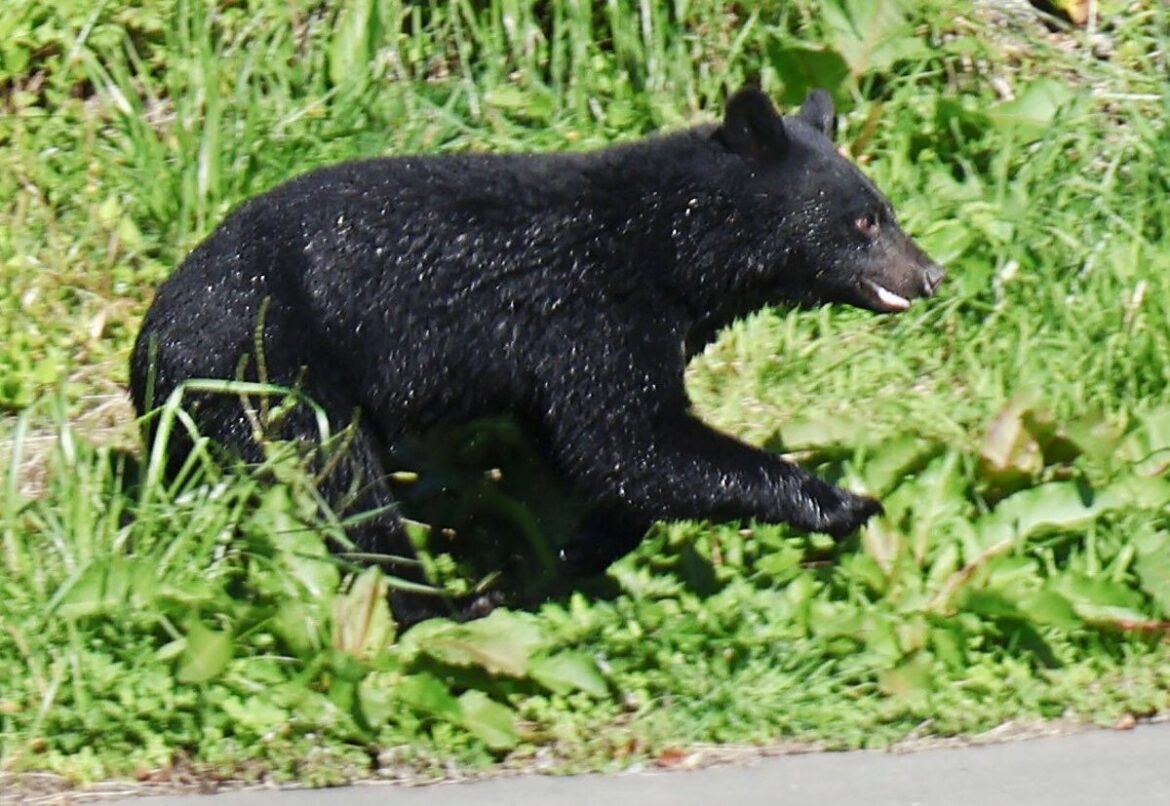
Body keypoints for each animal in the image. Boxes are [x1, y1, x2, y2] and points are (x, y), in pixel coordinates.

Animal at [130, 87, 944, 624]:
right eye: (865, 220)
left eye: (885, 209)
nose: (931, 273)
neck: (669, 245)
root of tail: (148, 348)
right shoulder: (591, 313)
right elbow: (626, 440)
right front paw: (842, 501)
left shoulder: (555, 360)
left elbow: (591, 457)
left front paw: (565, 557)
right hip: (267, 371)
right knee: (343, 483)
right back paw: (439, 605)